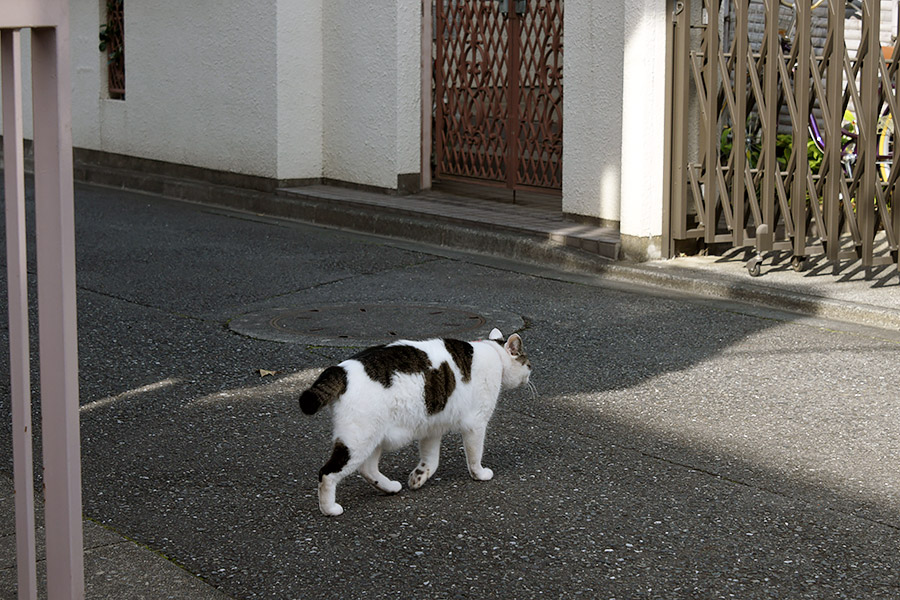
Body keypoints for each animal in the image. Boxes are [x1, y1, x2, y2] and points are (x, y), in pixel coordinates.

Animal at [298, 328, 532, 516]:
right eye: (528, 364)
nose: (530, 375)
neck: (494, 353)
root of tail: (341, 370)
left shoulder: (432, 427)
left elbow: (431, 460)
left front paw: (419, 477)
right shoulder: (476, 424)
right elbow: (475, 455)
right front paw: (480, 474)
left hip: (373, 437)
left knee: (367, 468)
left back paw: (389, 487)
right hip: (357, 440)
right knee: (327, 474)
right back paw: (329, 509)